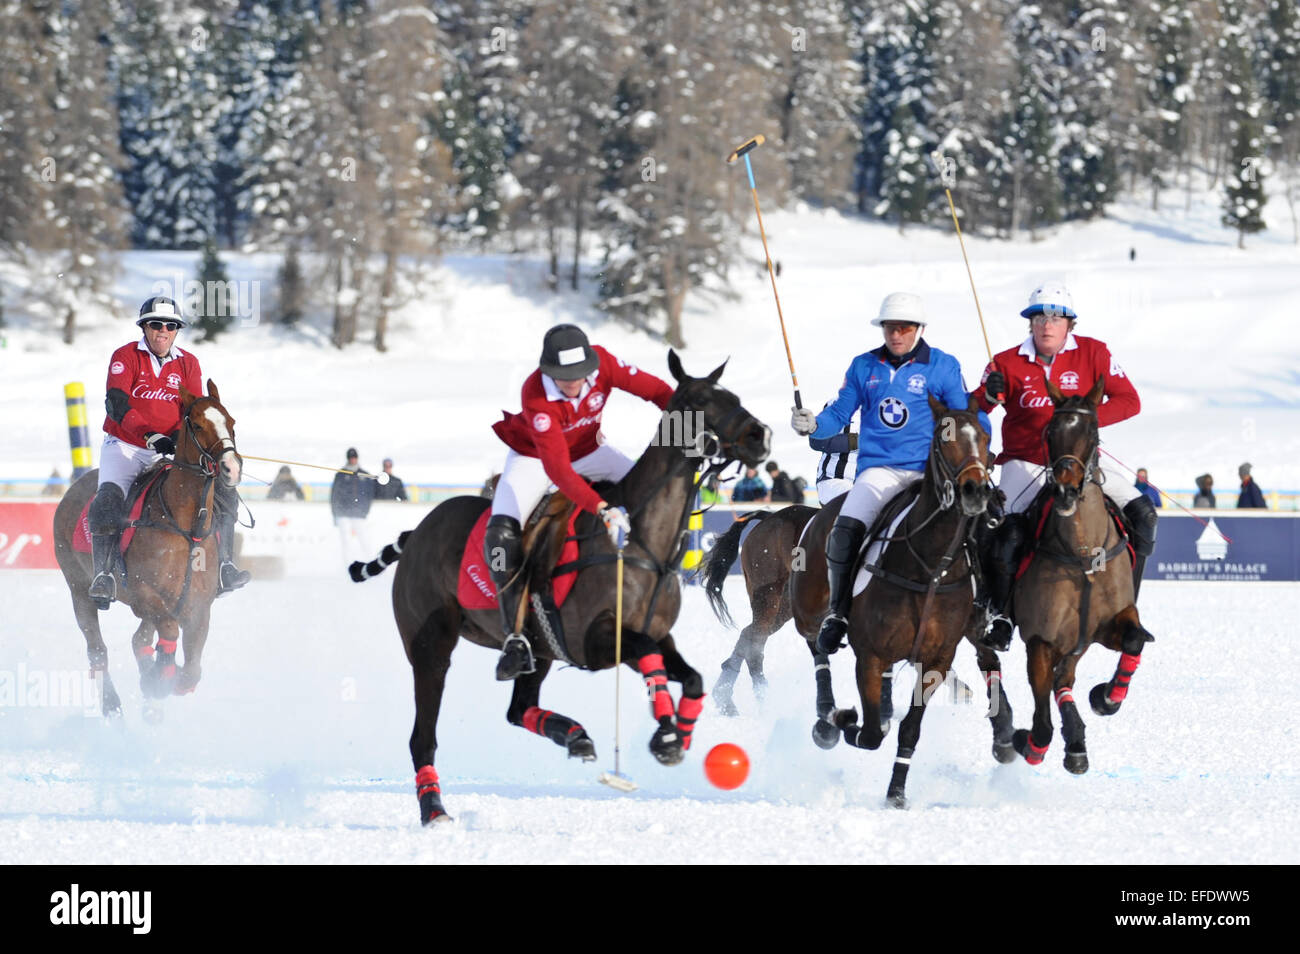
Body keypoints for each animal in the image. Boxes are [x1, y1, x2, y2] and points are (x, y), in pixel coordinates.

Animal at [53, 382, 244, 717]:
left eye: (231, 422)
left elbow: (192, 669)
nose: (231, 468)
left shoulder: (198, 608)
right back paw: (113, 706)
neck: (186, 528)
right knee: (98, 649)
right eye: (197, 425)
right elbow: (168, 631)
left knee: (137, 638)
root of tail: (71, 490)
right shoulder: (146, 597)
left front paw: (165, 681)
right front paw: (161, 676)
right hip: (78, 589)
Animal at [348, 356, 769, 826]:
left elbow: (691, 676)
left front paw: (677, 734)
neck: (642, 543)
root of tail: (417, 530)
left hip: (542, 649)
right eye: (698, 400)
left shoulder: (654, 634)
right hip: (429, 645)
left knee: (517, 709)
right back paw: (434, 809)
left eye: (733, 396)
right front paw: (665, 734)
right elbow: (651, 659)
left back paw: (575, 736)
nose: (760, 436)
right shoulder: (597, 642)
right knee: (423, 735)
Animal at [790, 395, 1013, 805]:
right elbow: (871, 732)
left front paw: (896, 792)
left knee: (987, 658)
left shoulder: (936, 659)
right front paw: (844, 719)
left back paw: (1004, 736)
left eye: (986, 437)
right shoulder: (871, 654)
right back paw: (826, 719)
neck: (930, 564)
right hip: (808, 610)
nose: (977, 493)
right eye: (943, 439)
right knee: (818, 647)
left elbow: (909, 728)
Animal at [1008, 374, 1154, 779]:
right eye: (1050, 431)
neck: (1082, 554)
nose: (1065, 490)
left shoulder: (1105, 625)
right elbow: (1041, 722)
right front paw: (1029, 742)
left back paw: (1076, 736)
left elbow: (1134, 640)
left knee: (1065, 679)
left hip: (1079, 643)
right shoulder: (1039, 640)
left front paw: (1105, 698)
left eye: (1091, 431)